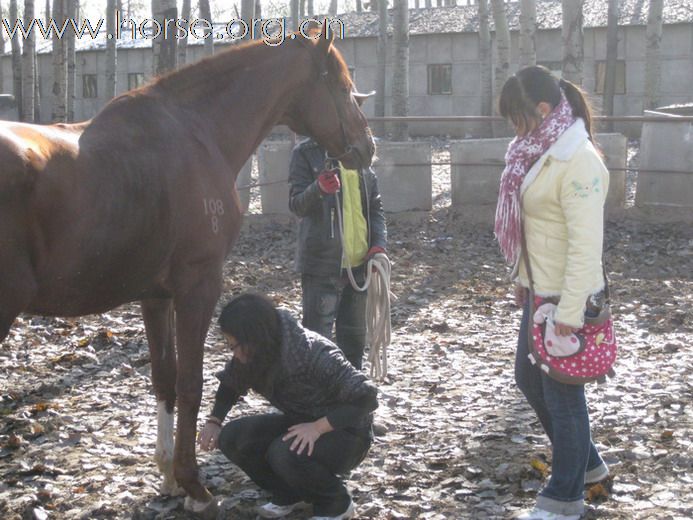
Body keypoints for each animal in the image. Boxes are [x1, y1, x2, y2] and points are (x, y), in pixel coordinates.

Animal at [0, 29, 374, 516]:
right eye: (345, 88)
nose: (368, 148)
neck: (196, 133)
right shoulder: (198, 286)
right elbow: (192, 382)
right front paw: (193, 485)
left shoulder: (155, 296)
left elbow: (165, 378)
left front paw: (168, 477)